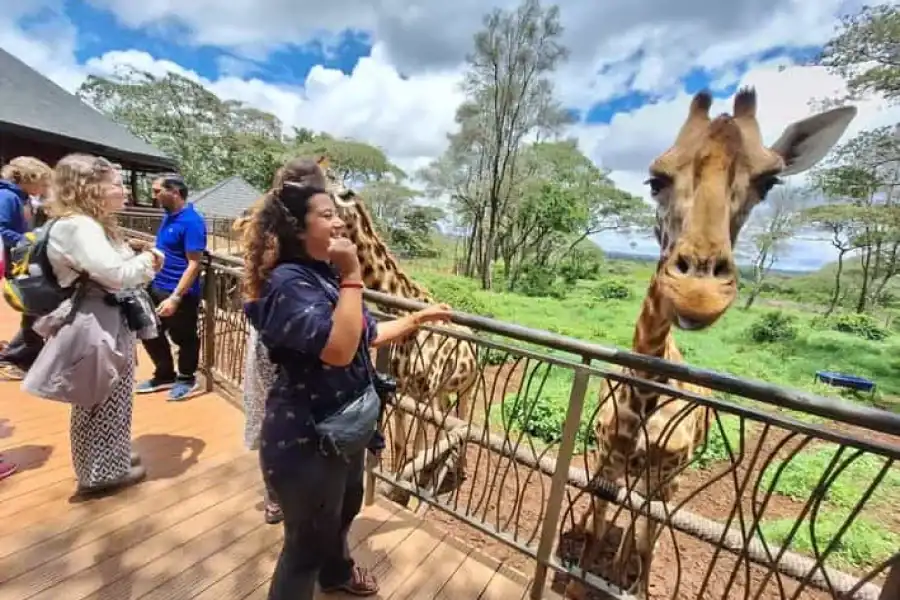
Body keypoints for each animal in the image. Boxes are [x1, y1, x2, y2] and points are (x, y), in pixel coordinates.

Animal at [316, 159, 479, 486]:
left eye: (325, 183)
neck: (401, 304)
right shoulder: (403, 388)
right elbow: (403, 443)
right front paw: (394, 475)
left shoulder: (423, 390)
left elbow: (416, 445)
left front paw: (410, 481)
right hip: (444, 391)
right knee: (447, 420)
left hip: (467, 387)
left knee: (463, 419)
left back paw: (460, 470)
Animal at [565, 88, 857, 599]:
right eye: (655, 179)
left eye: (769, 182)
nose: (698, 293)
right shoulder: (607, 460)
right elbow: (601, 522)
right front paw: (588, 568)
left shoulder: (665, 478)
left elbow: (642, 534)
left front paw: (628, 579)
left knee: (645, 529)